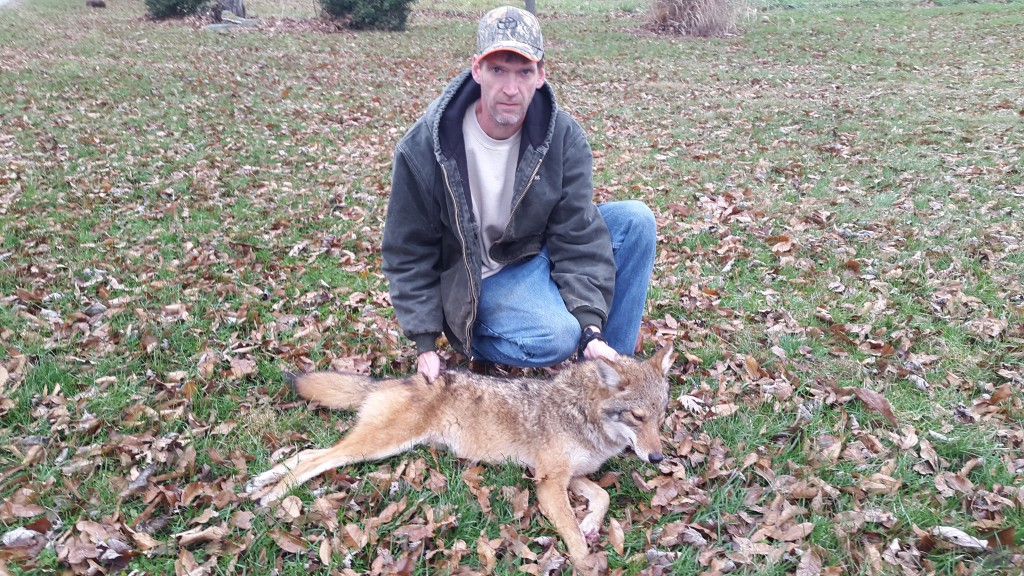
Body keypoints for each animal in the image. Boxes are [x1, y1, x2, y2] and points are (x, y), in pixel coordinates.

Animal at [245, 347, 674, 563]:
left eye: (661, 414)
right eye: (637, 416)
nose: (657, 459)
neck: (582, 413)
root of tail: (401, 378)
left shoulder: (568, 476)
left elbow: (601, 497)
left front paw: (590, 524)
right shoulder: (548, 483)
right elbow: (574, 537)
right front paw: (586, 558)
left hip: (373, 445)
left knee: (310, 452)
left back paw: (260, 482)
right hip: (379, 446)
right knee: (316, 459)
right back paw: (272, 495)